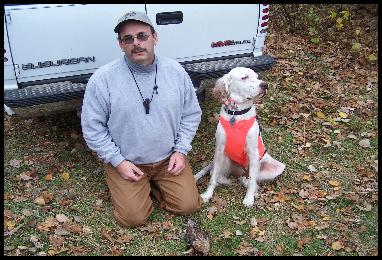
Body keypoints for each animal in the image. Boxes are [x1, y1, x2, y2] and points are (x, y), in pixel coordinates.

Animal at [195, 66, 286, 207]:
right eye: (245, 77)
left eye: (257, 77)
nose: (265, 85)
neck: (236, 115)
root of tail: (238, 172)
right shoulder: (219, 149)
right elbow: (213, 177)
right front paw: (207, 194)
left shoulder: (253, 153)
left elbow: (253, 180)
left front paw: (249, 199)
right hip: (225, 160)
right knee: (214, 172)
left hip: (274, 167)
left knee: (248, 179)